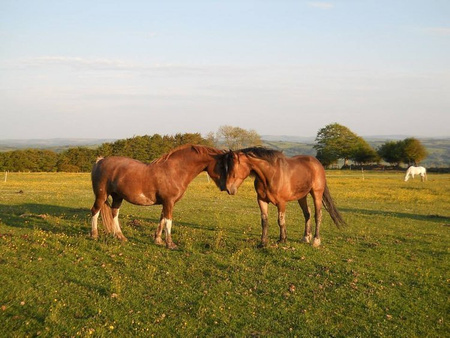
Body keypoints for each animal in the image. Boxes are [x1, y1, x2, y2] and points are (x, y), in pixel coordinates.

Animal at [90, 144, 229, 250]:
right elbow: (168, 222)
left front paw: (158, 240)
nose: (227, 188)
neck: (175, 171)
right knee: (95, 211)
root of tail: (100, 161)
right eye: (223, 166)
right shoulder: (169, 202)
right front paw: (170, 244)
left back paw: (120, 236)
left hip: (118, 197)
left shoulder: (167, 203)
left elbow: (162, 219)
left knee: (114, 213)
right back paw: (94, 235)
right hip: (101, 195)